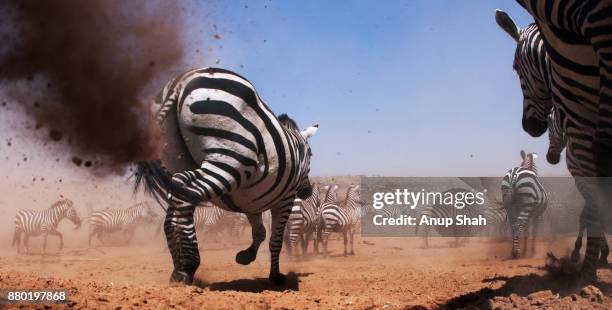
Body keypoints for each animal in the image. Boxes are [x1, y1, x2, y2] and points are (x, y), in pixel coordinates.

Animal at [132, 66, 318, 284]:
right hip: (230, 159)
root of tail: (181, 82)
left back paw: (178, 266)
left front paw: (245, 257)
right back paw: (187, 267)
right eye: (311, 154)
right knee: (184, 192)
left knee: (178, 198)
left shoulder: (251, 203)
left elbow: (260, 232)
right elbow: (275, 239)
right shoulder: (285, 199)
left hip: (176, 155)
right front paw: (275, 276)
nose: (307, 192)